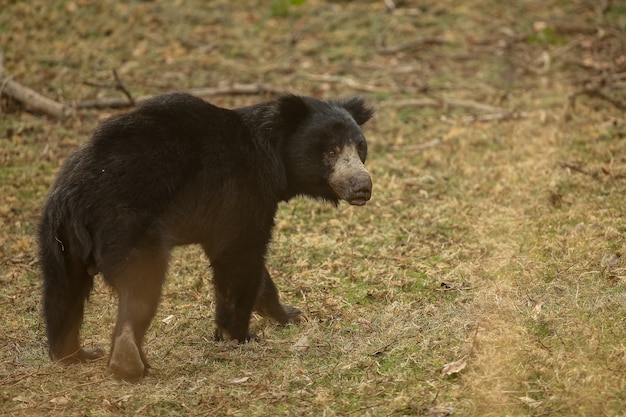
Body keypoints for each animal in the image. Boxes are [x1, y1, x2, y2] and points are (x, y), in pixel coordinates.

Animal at [39, 92, 372, 380]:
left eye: (359, 148)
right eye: (330, 151)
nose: (362, 186)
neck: (272, 160)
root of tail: (77, 197)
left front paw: (290, 314)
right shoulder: (241, 194)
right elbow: (239, 258)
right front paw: (238, 336)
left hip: (58, 240)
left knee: (62, 294)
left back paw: (75, 353)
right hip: (128, 228)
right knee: (140, 290)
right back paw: (129, 363)